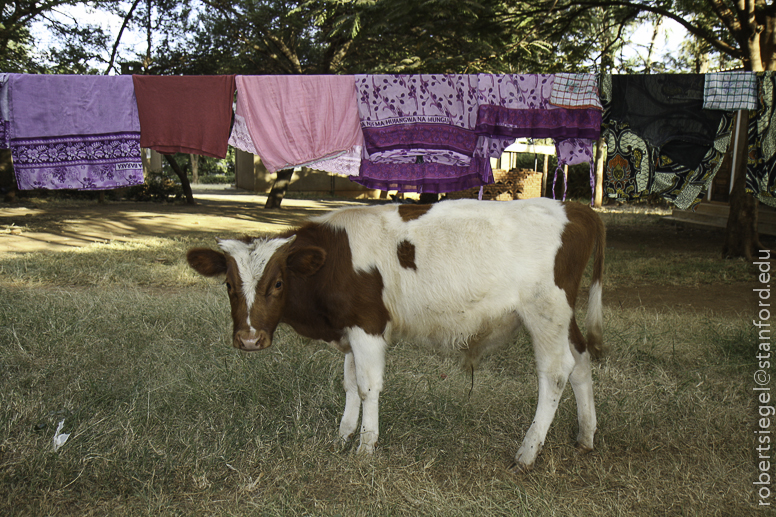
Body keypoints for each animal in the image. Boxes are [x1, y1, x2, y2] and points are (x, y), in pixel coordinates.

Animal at [186, 198, 608, 472]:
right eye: (228, 285)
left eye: (276, 283)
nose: (249, 338)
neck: (332, 261)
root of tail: (575, 208)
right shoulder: (349, 330)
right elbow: (349, 383)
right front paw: (343, 435)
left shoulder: (368, 326)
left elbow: (368, 386)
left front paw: (365, 445)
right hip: (562, 315)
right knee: (581, 360)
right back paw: (586, 435)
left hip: (544, 311)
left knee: (555, 372)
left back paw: (527, 453)